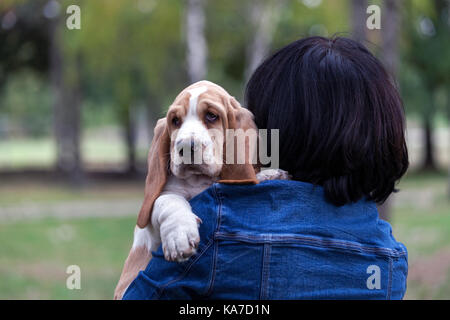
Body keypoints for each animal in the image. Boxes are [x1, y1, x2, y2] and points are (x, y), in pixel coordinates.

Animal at [112, 80, 288, 300]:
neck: (198, 182)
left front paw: (272, 174)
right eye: (175, 121)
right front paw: (179, 235)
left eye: (211, 116)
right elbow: (167, 200)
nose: (186, 147)